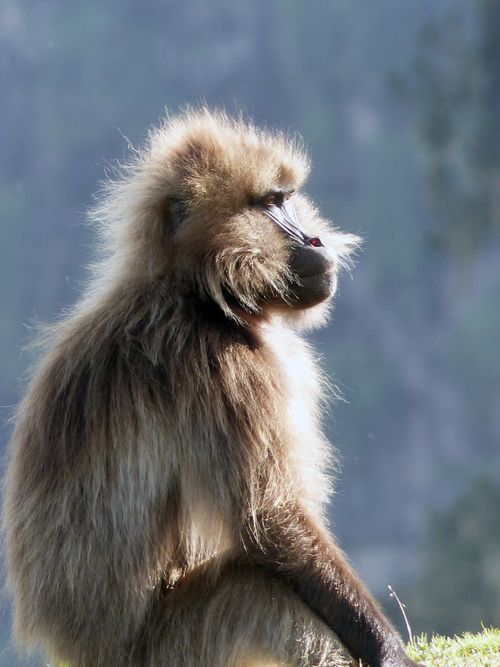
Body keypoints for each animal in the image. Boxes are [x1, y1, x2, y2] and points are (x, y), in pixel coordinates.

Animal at [3, 109, 422, 667]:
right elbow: (270, 521)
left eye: (286, 198)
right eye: (268, 204)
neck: (196, 295)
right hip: (169, 648)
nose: (314, 240)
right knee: (257, 595)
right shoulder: (225, 369)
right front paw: (386, 647)